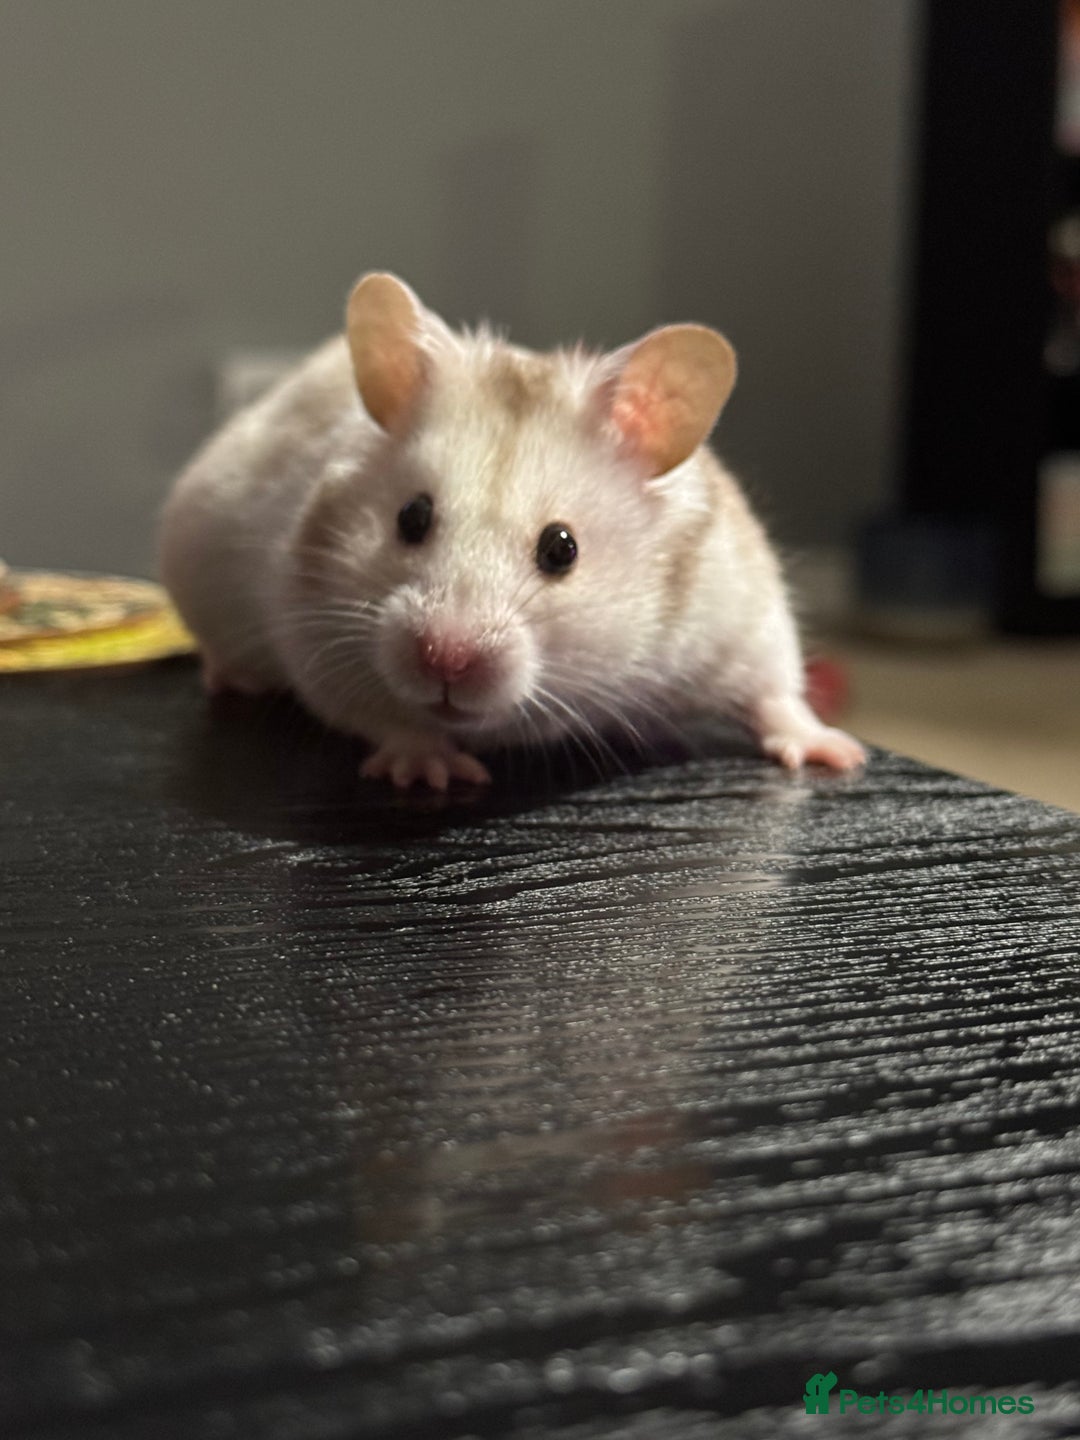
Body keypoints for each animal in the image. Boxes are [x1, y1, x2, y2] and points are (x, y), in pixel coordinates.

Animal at [160, 272, 865, 789]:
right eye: (411, 517)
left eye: (562, 549)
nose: (444, 659)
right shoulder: (315, 638)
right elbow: (382, 715)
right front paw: (432, 774)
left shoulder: (743, 611)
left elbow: (777, 690)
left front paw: (838, 755)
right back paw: (234, 680)